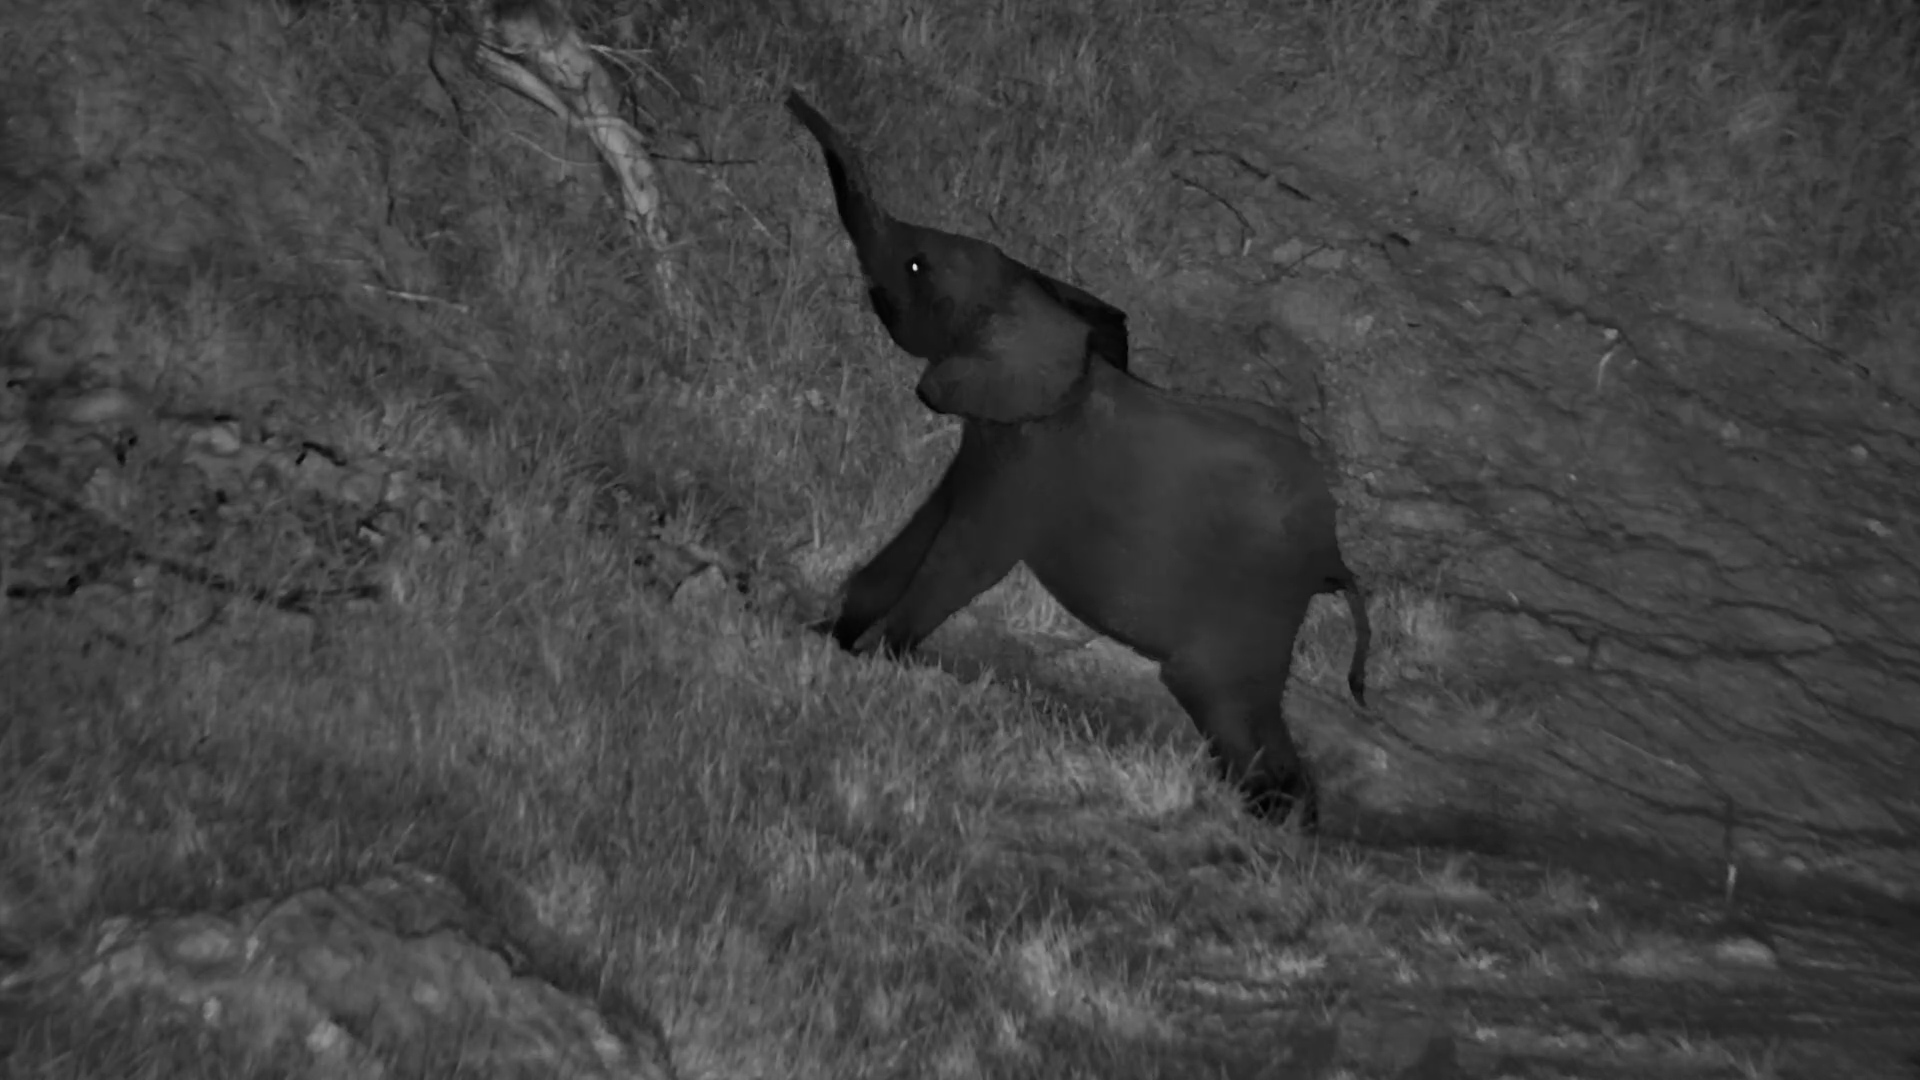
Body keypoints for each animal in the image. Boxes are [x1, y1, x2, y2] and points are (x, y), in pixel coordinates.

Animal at [786, 91, 1371, 829]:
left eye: (918, 266)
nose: (791, 100)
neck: (1041, 310)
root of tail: (1334, 557)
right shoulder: (996, 441)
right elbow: (928, 524)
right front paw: (830, 633)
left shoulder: (1034, 466)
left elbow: (966, 556)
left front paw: (871, 658)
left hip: (1253, 606)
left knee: (1221, 698)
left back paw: (1270, 820)